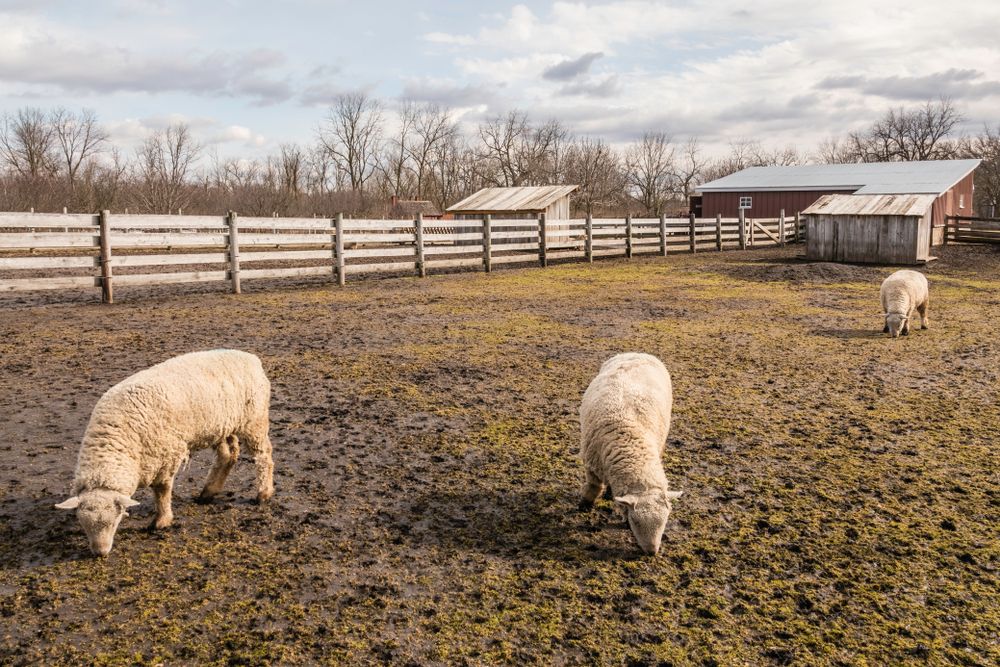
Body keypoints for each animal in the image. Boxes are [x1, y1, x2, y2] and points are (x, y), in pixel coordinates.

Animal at [55, 349, 274, 556]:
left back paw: (263, 493)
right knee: (228, 455)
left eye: (113, 521)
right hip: (221, 426)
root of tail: (251, 358)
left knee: (264, 456)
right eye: (83, 524)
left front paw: (161, 521)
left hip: (254, 420)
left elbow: (161, 490)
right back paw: (208, 492)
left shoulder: (165, 455)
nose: (100, 553)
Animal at [579, 352, 682, 555]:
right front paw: (584, 505)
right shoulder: (592, 464)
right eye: (636, 521)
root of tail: (638, 353)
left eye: (665, 520)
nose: (651, 552)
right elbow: (593, 487)